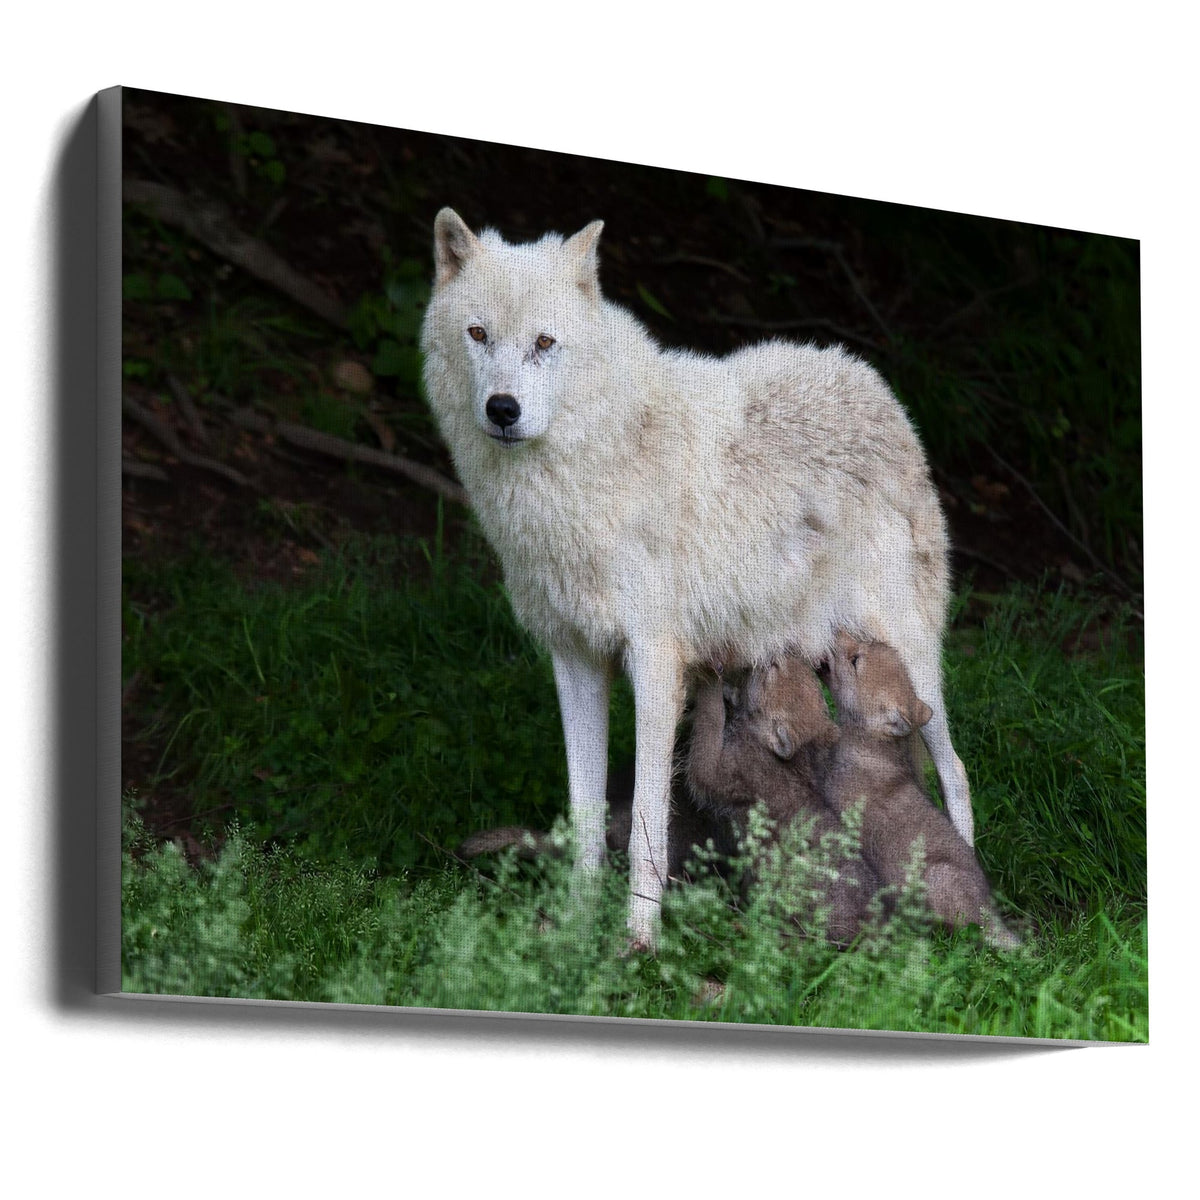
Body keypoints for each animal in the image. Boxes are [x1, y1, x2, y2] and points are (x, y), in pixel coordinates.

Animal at [420, 208, 969, 948]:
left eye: (544, 343)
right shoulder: (574, 659)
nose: (502, 409)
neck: (591, 466)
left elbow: (646, 823)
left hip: (908, 657)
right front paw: (575, 931)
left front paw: (637, 942)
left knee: (956, 770)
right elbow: (585, 816)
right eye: (478, 335)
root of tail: (866, 380)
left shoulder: (655, 665)